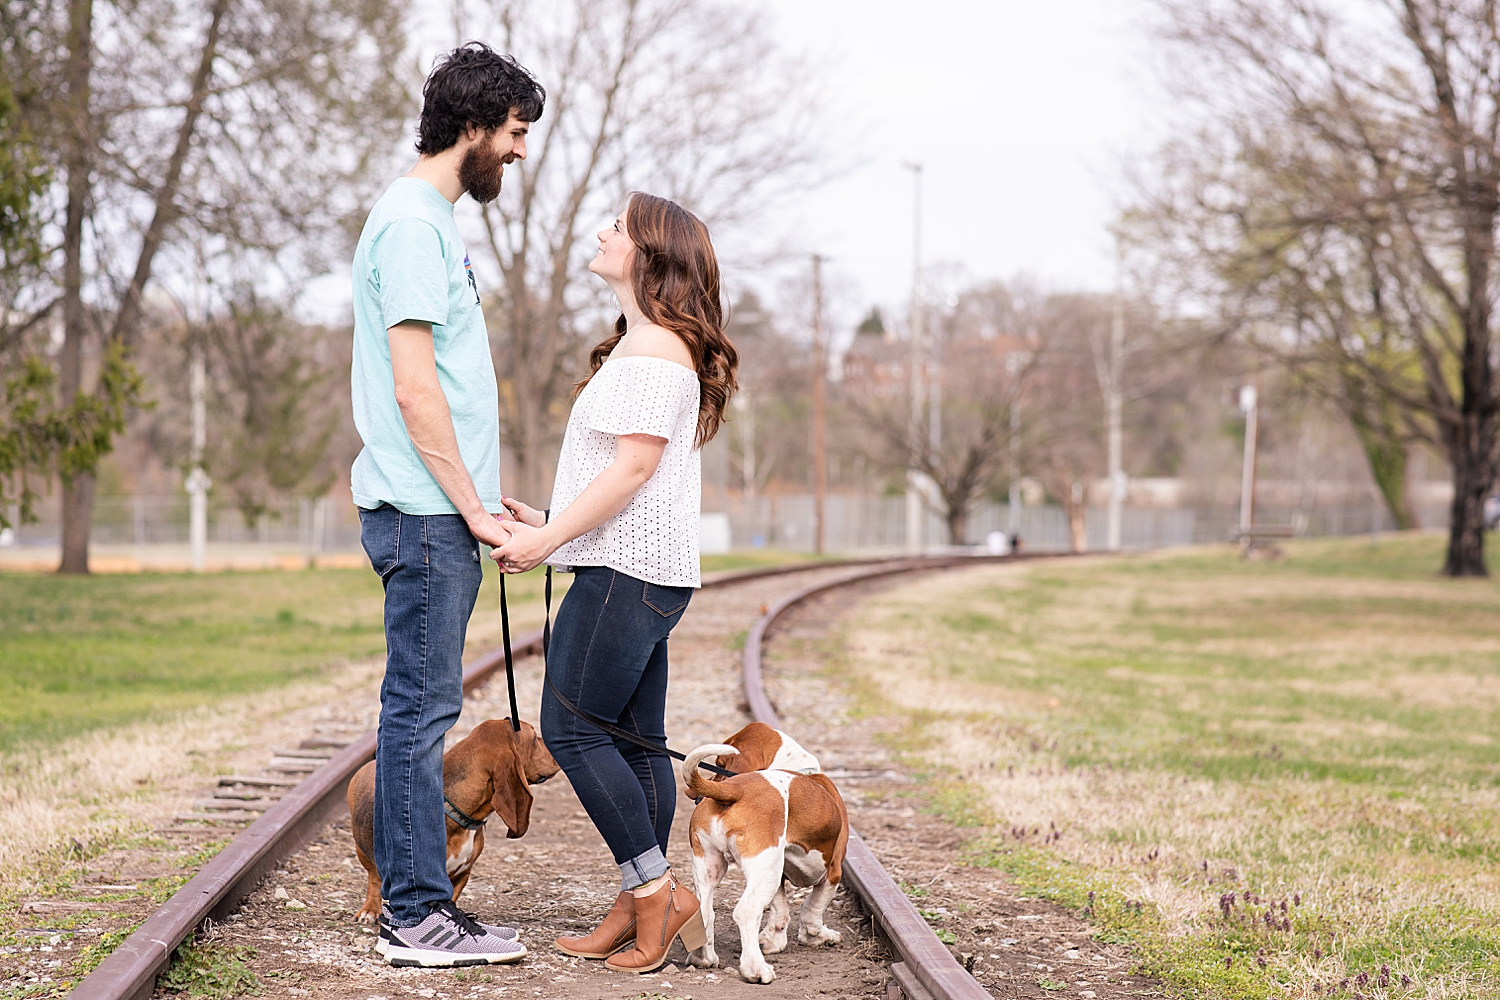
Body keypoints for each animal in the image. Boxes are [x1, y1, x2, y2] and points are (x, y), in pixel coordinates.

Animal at [684, 728, 852, 983]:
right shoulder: (832, 873)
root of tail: (735, 789)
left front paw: (772, 940)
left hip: (712, 867)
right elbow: (811, 911)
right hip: (764, 866)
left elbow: (779, 909)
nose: (691, 794)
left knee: (704, 913)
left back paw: (703, 958)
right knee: (746, 911)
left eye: (720, 765)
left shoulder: (778, 874)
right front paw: (819, 936)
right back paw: (756, 969)